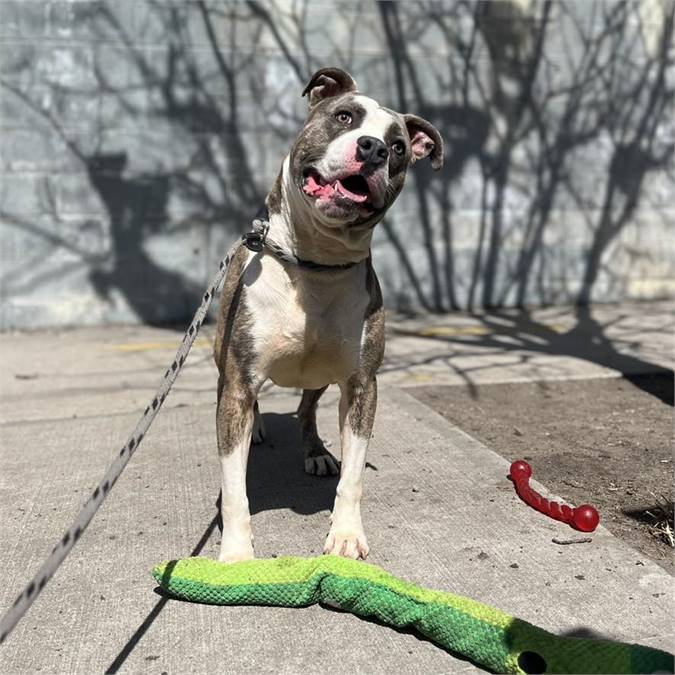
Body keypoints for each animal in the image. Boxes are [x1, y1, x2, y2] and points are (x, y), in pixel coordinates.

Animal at [214, 68, 440, 564]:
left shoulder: (361, 386)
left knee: (305, 409)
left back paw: (316, 450)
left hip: (318, 375)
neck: (315, 265)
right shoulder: (237, 382)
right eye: (344, 117)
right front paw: (236, 554)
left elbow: (353, 476)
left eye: (398, 146)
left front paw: (346, 535)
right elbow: (235, 484)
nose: (372, 149)